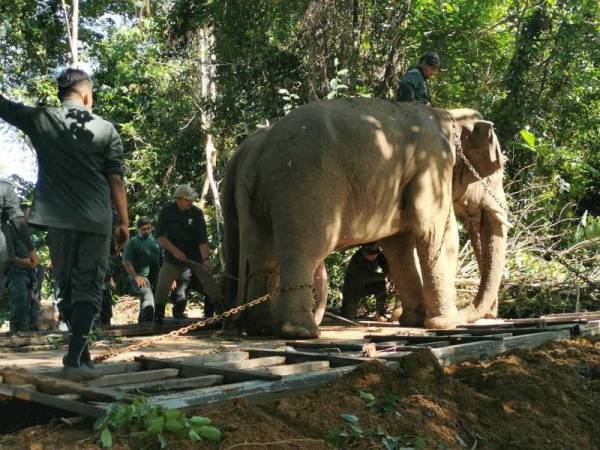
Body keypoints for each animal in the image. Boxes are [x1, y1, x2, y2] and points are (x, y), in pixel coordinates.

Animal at [220, 97, 506, 338]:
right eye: (497, 168)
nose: (490, 315)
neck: (449, 116)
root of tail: (256, 152)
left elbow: (399, 246)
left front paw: (413, 321)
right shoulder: (433, 164)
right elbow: (438, 234)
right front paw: (445, 324)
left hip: (260, 198)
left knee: (263, 256)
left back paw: (260, 327)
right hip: (302, 188)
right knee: (303, 252)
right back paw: (302, 332)